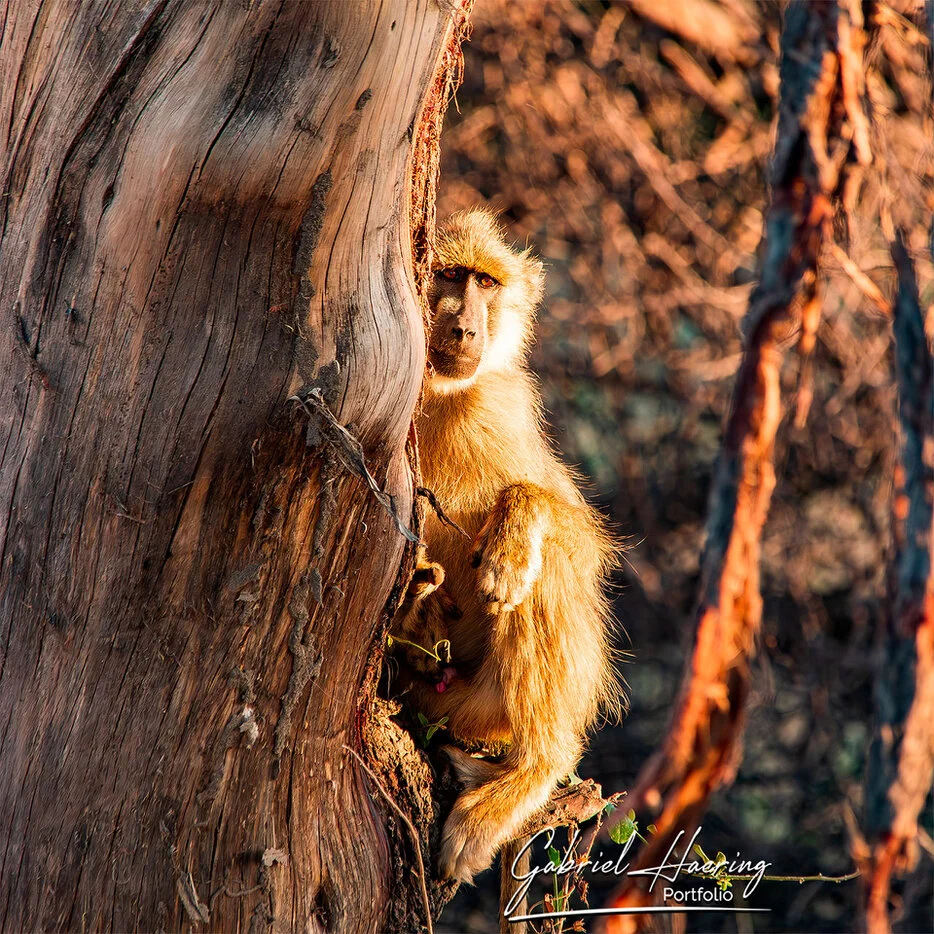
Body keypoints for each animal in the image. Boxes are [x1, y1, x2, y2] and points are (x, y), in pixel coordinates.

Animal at [390, 208, 621, 885]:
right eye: (449, 274)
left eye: (486, 282)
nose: (465, 327)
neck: (438, 393)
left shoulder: (499, 404)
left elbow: (579, 540)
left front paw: (512, 539)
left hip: (487, 708)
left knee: (549, 573)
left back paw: (533, 770)